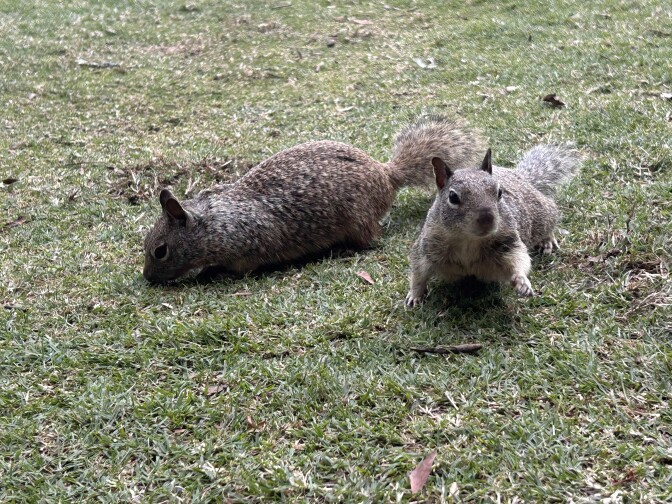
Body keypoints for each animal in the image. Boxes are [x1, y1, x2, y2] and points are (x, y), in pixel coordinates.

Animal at [143, 116, 484, 283]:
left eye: (160, 251)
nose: (147, 278)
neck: (214, 223)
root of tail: (386, 175)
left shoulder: (248, 247)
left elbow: (239, 268)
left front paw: (209, 272)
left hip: (357, 220)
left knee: (371, 239)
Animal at [405, 144, 581, 307]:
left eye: (500, 192)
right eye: (453, 197)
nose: (487, 219)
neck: (468, 240)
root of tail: (519, 176)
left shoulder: (508, 242)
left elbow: (519, 259)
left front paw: (521, 281)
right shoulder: (427, 245)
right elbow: (418, 272)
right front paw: (415, 295)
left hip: (541, 213)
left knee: (550, 220)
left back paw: (547, 240)